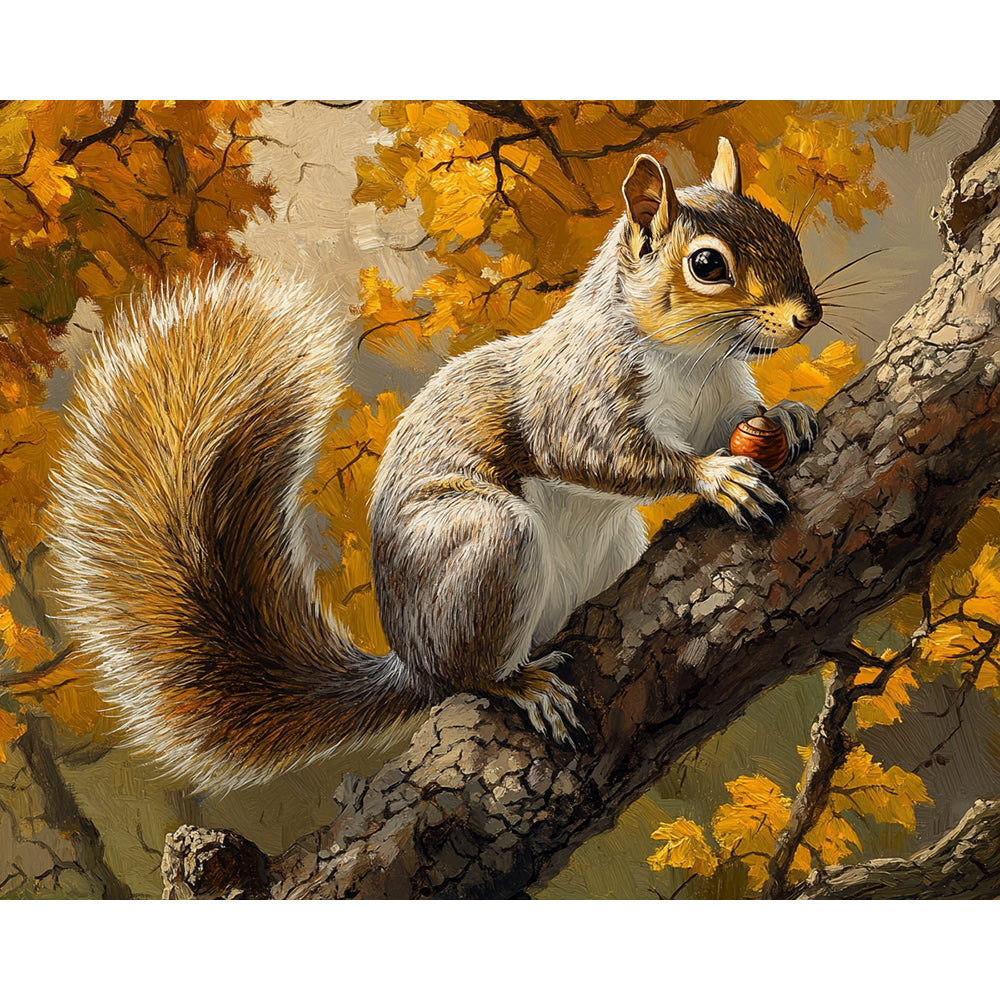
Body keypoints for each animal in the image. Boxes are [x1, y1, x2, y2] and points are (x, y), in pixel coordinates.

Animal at [50, 138, 822, 794]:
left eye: (785, 231)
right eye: (708, 265)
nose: (807, 316)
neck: (694, 362)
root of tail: (410, 659)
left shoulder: (721, 402)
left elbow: (738, 421)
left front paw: (786, 416)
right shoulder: (576, 397)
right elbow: (599, 454)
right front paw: (715, 477)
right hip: (481, 550)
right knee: (466, 675)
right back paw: (521, 685)